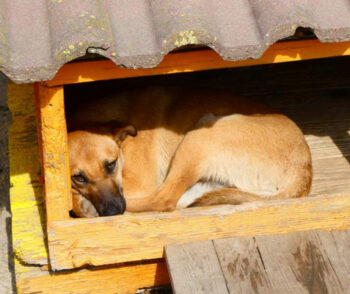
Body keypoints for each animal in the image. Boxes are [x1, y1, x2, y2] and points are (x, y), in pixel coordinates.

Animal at [67, 86, 312, 217]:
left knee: (163, 199)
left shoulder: (138, 183)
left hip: (203, 133)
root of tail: (304, 172)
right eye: (79, 177)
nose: (113, 211)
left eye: (111, 165)